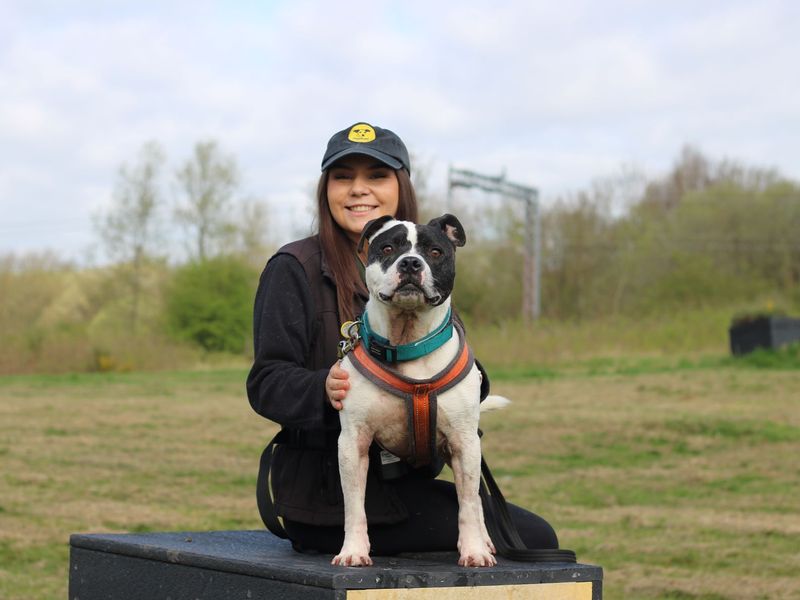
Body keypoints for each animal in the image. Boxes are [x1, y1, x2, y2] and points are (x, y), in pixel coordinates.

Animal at [334, 214, 510, 568]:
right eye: (388, 248)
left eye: (435, 251)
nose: (411, 263)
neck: (407, 344)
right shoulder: (352, 443)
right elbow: (354, 505)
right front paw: (353, 550)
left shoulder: (464, 443)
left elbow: (468, 504)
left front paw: (473, 550)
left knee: (477, 499)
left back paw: (485, 541)